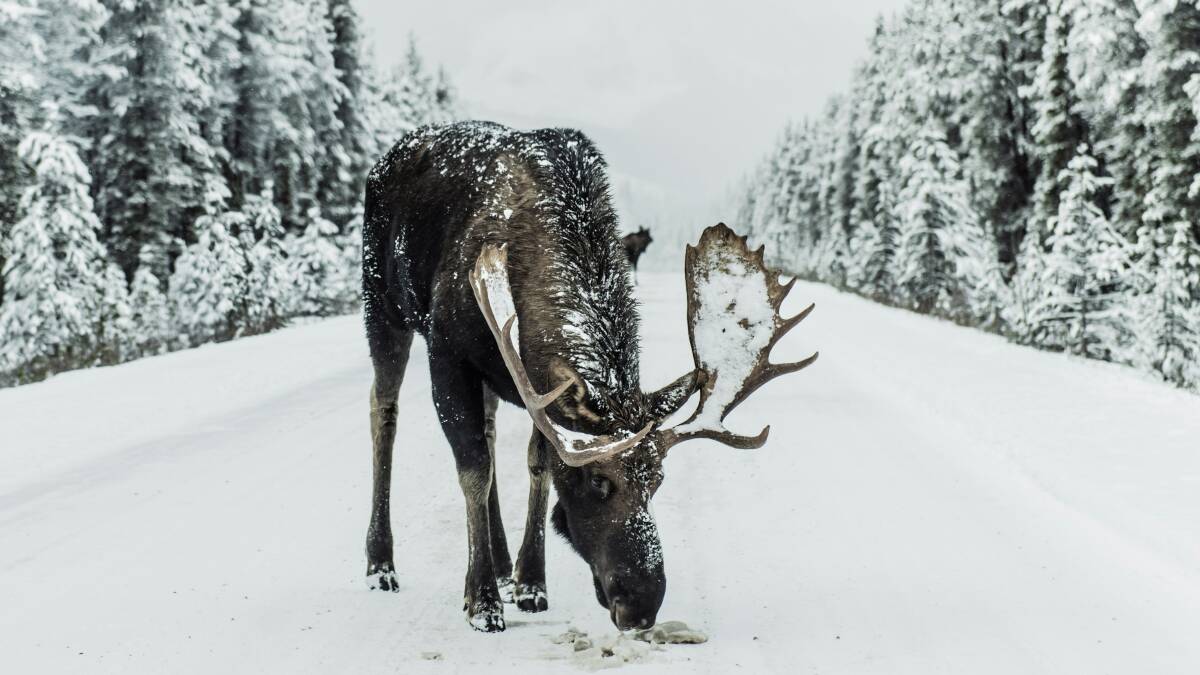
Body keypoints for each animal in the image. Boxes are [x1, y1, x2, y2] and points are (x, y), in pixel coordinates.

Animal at [361, 121, 817, 633]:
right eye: (599, 481)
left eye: (658, 480)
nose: (641, 604)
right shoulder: (448, 350)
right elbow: (473, 469)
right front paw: (481, 601)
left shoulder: (533, 384)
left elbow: (537, 464)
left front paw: (530, 582)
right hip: (382, 304)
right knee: (384, 411)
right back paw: (381, 564)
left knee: (490, 430)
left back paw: (501, 562)